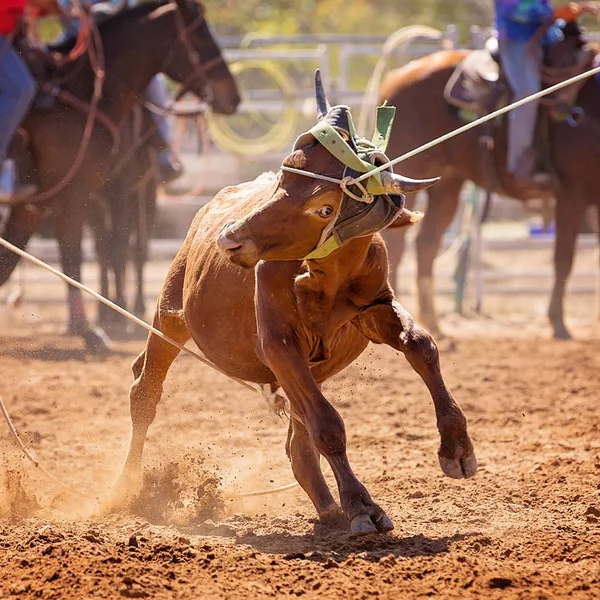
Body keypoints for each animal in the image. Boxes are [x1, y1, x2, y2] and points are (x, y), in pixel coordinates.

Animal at [0, 0, 239, 354]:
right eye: (199, 35)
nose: (233, 96)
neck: (81, 96)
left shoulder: (42, 203)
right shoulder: (72, 196)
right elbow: (76, 256)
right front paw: (90, 331)